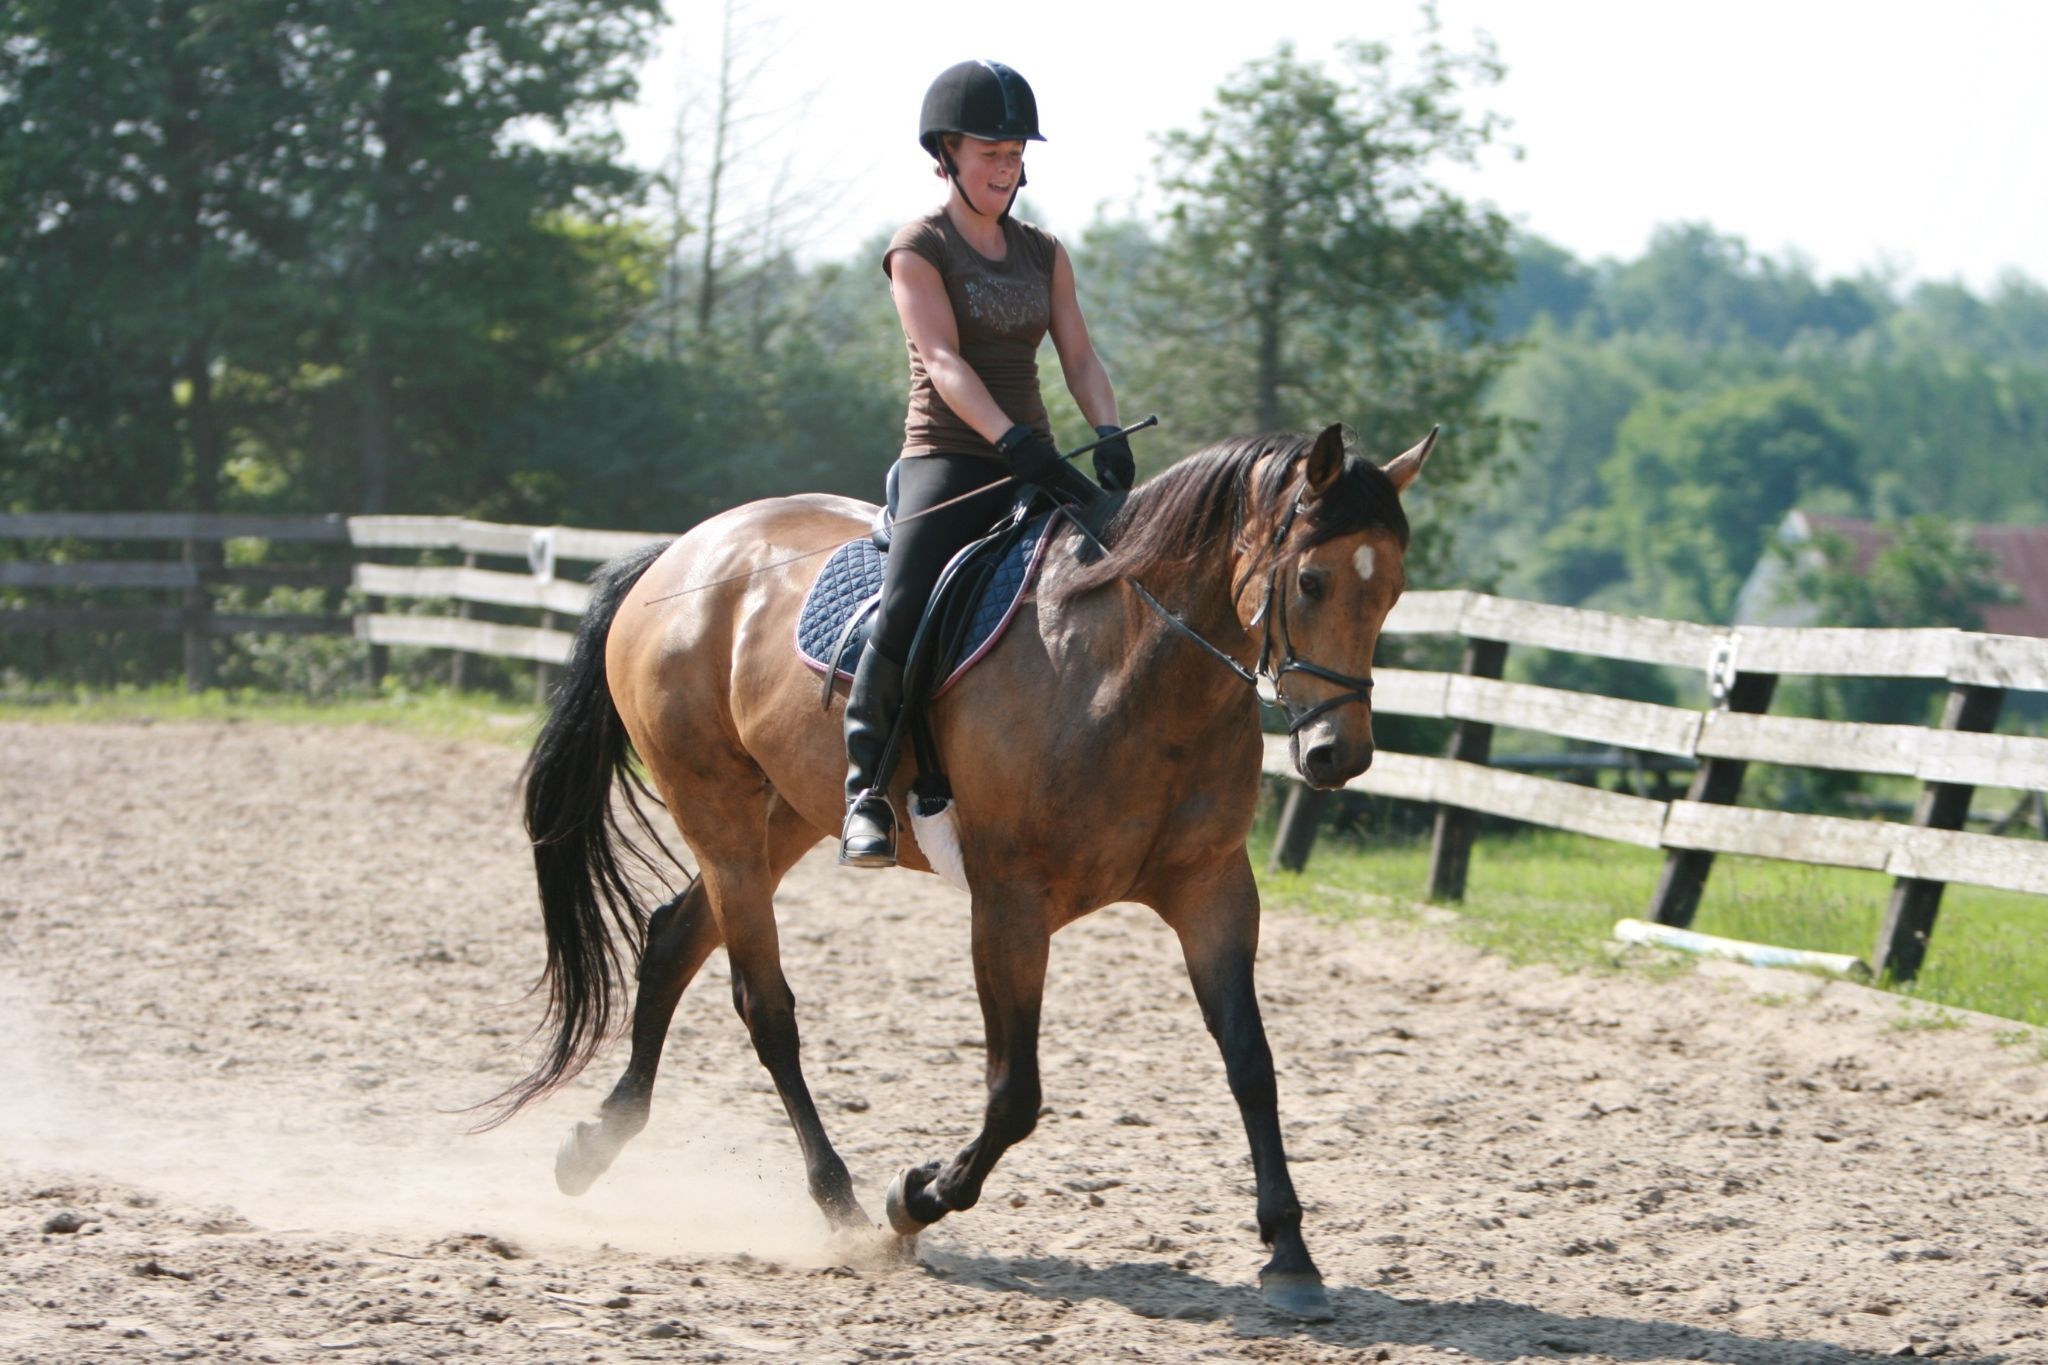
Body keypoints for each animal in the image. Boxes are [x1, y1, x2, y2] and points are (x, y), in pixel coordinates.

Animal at [495, 419, 1433, 1326]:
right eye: (1310, 581)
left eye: (1390, 591)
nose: (1339, 755)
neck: (1128, 670)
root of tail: (681, 552)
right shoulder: (1010, 903)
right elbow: (1015, 1092)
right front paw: (914, 1197)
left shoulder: (1213, 890)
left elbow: (1251, 1062)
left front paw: (1291, 1256)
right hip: (716, 807)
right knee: (765, 1006)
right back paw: (840, 1203)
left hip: (787, 813)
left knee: (673, 938)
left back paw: (595, 1142)